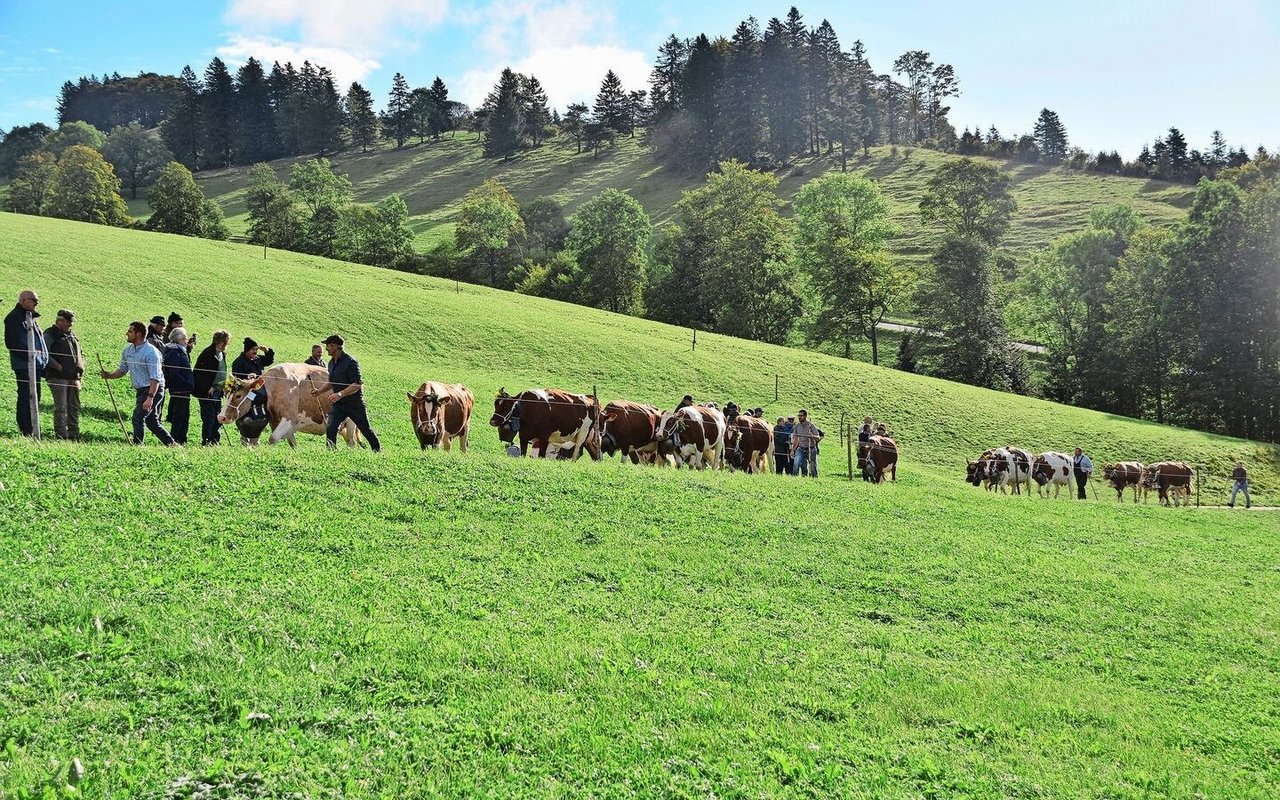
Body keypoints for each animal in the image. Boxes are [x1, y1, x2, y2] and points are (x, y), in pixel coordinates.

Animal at [215, 363, 355, 445]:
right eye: (227, 394)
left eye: (238, 396)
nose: (221, 417)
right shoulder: (277, 422)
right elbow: (292, 442)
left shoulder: (289, 418)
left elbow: (272, 439)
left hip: (351, 423)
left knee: (351, 442)